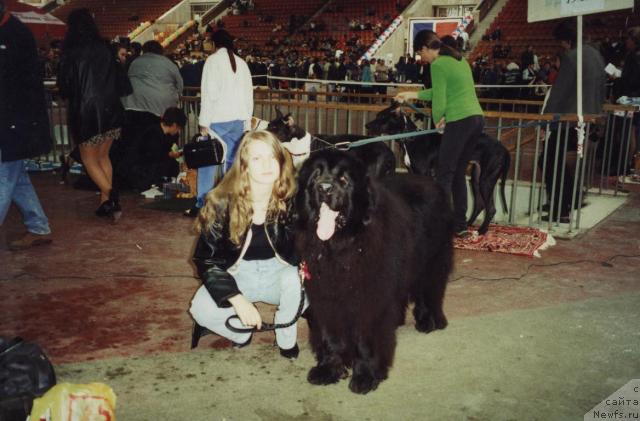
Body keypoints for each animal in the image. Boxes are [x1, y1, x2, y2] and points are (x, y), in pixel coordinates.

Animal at [296, 148, 456, 394]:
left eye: (344, 179)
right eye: (315, 177)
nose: (324, 188)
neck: (341, 246)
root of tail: (430, 181)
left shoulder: (369, 298)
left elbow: (366, 340)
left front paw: (365, 376)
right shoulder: (327, 297)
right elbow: (331, 337)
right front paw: (328, 369)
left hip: (431, 262)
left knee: (428, 291)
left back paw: (429, 321)